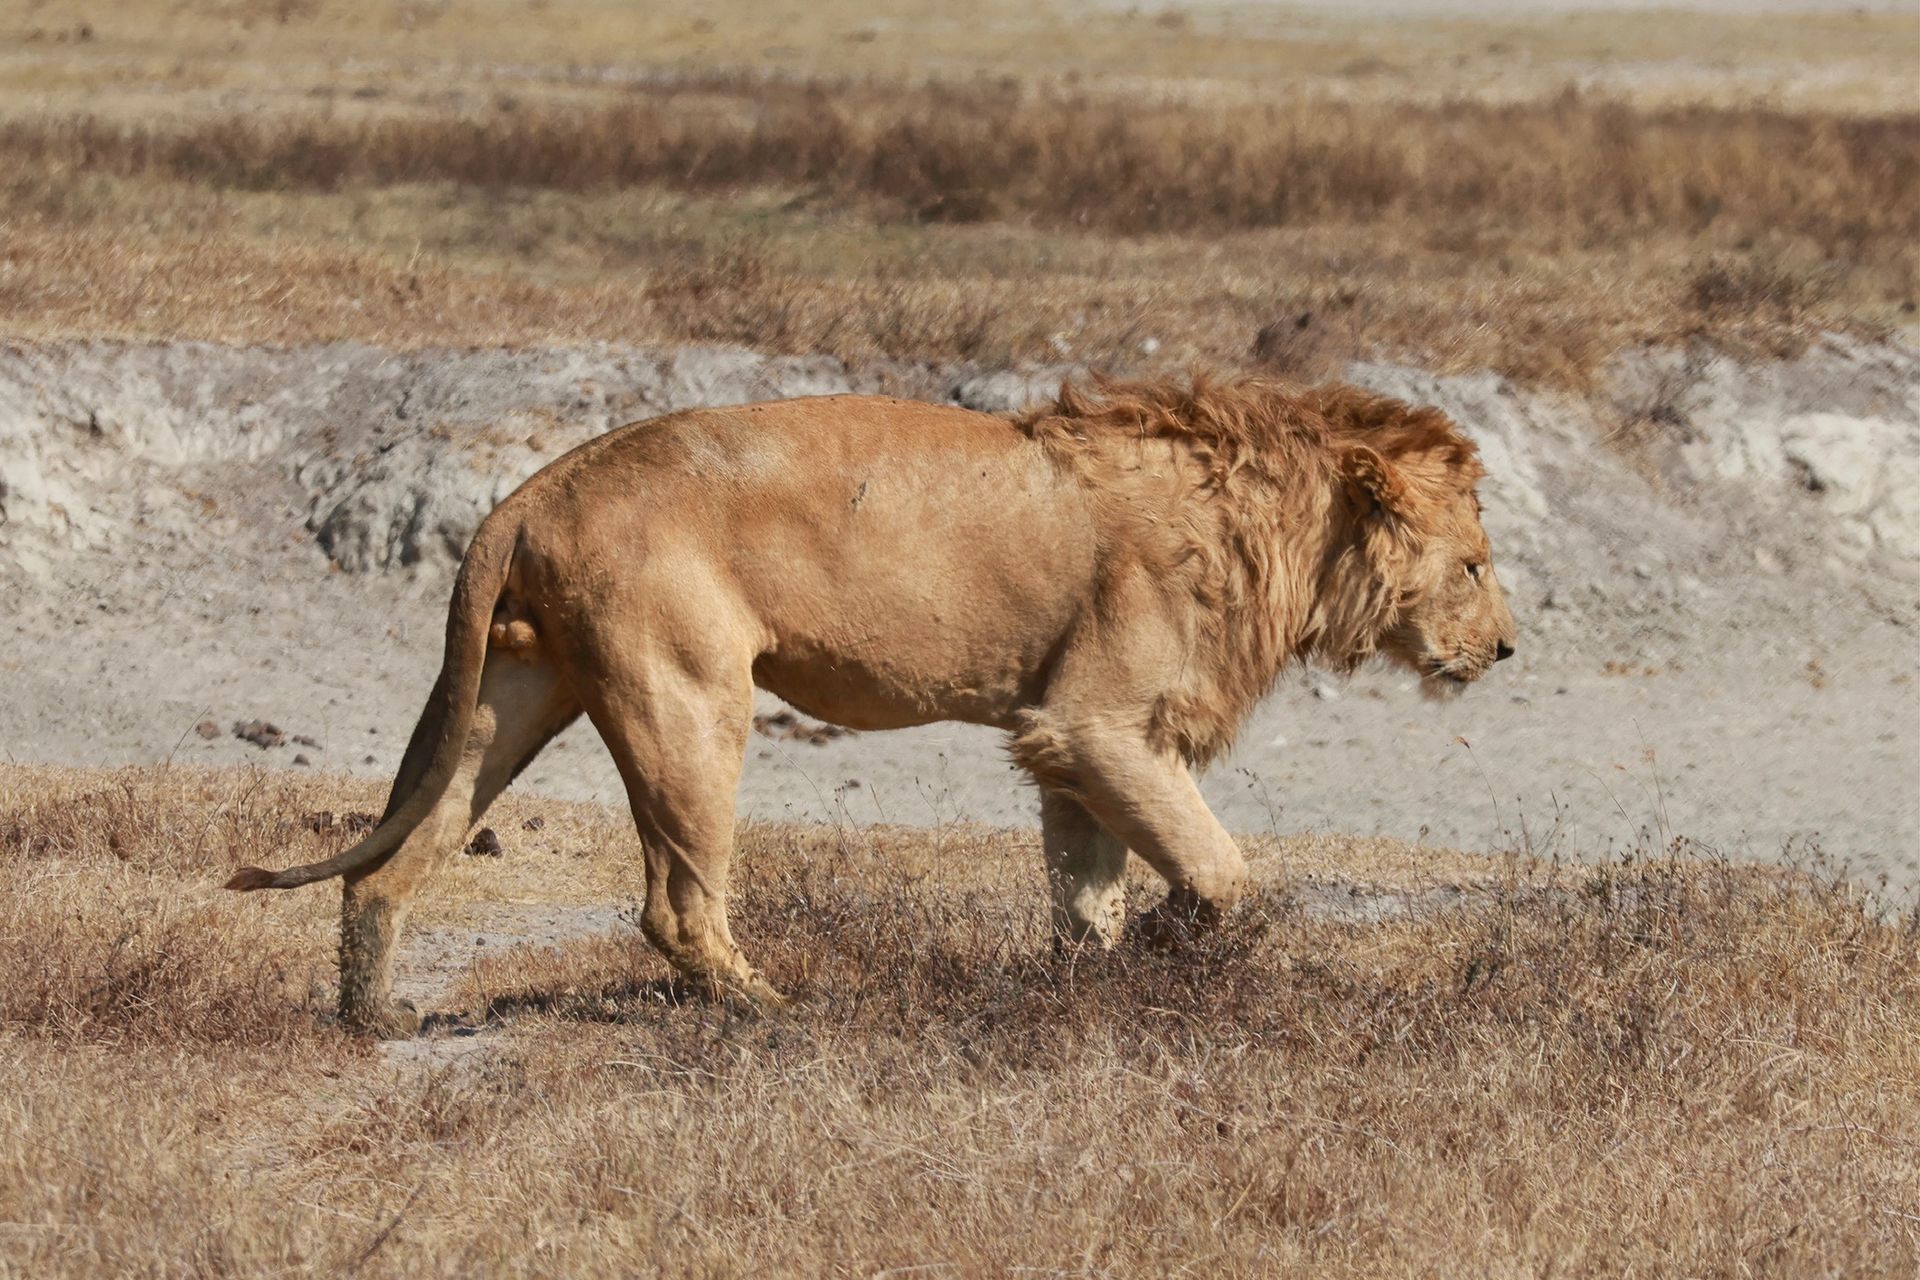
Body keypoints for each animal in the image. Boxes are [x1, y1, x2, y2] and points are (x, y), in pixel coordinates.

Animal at [228, 375, 1516, 1036]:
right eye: (1474, 563)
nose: (1507, 647)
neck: (1280, 526)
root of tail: (532, 487)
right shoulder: (1096, 720)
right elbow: (1221, 869)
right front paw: (1171, 943)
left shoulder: (1071, 737)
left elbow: (1086, 893)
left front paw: (1088, 988)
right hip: (689, 699)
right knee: (674, 906)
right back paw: (778, 1009)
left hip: (514, 696)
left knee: (390, 865)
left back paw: (377, 1020)